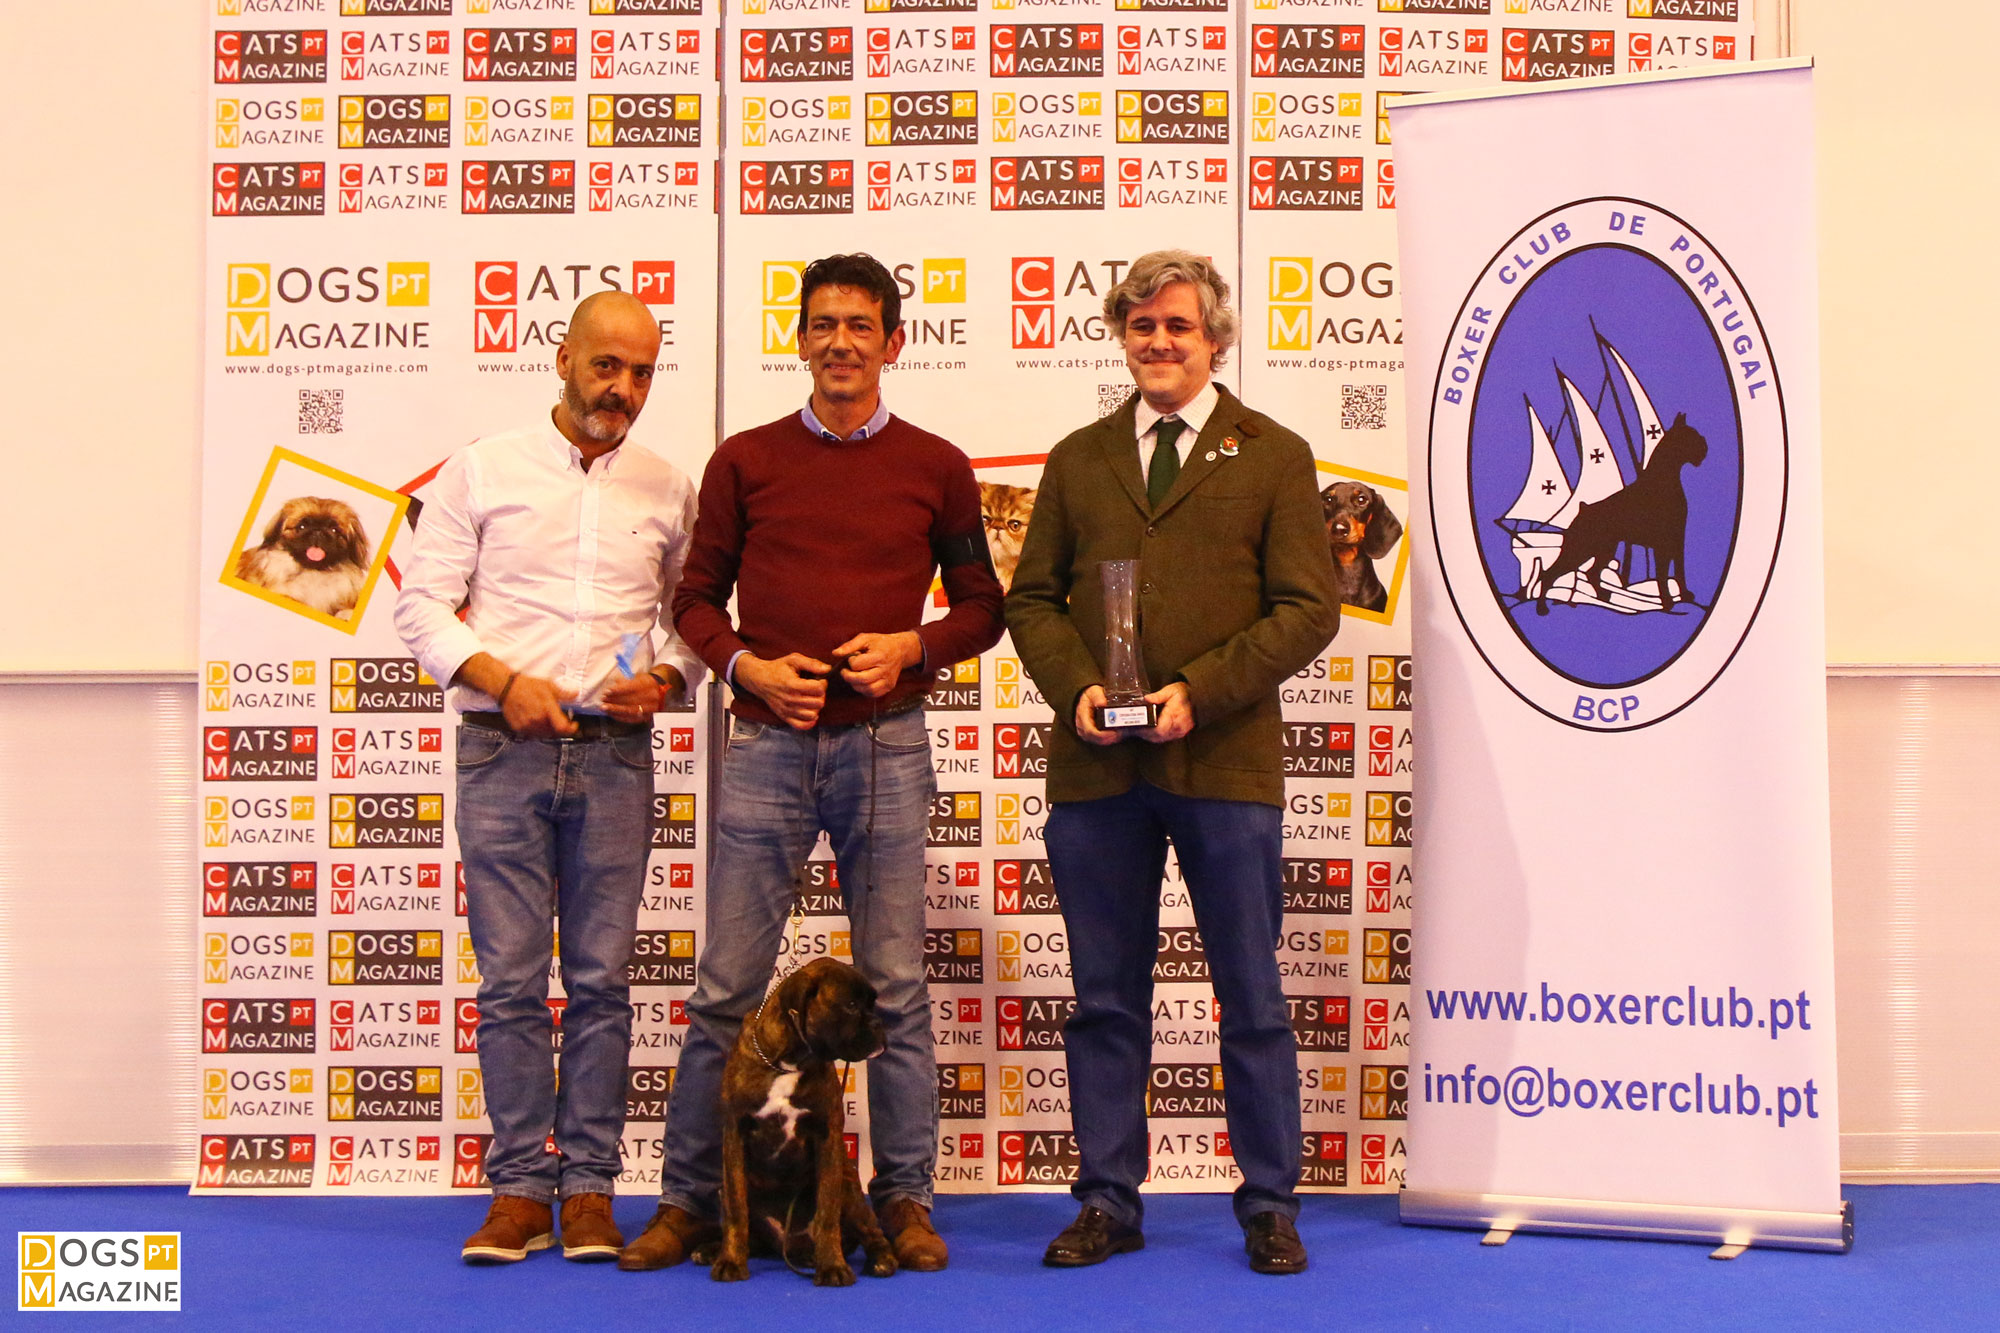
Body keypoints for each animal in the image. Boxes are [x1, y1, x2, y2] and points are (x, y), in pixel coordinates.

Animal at [712, 957, 897, 1285]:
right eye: (851, 1005)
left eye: (872, 1004)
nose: (878, 1024)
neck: (789, 1063)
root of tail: (787, 1244)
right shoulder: (735, 1133)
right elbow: (735, 1210)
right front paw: (731, 1260)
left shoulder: (827, 1138)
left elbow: (827, 1213)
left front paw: (832, 1265)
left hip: (850, 1188)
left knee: (870, 1231)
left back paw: (880, 1259)